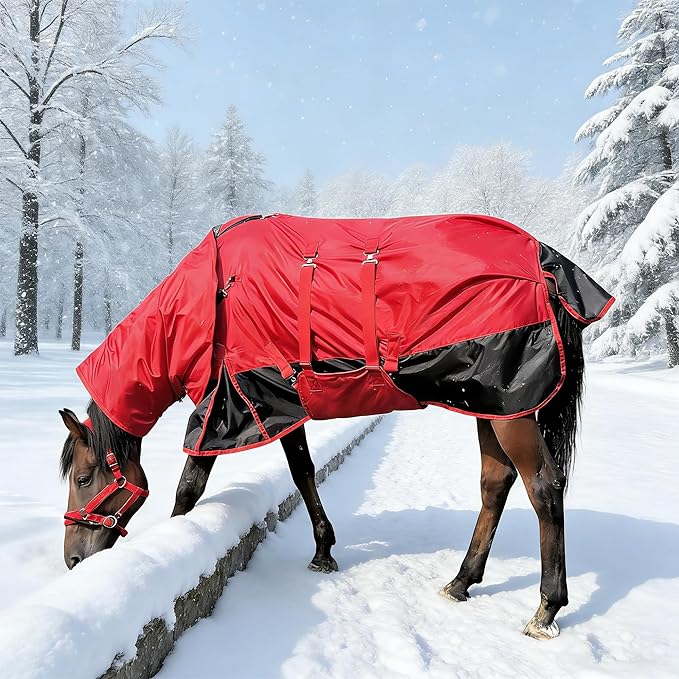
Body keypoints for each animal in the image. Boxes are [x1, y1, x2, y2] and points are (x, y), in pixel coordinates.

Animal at [58, 213, 613, 640]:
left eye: (83, 477)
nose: (72, 561)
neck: (215, 298)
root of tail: (548, 263)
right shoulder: (283, 406)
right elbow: (303, 474)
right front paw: (324, 549)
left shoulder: (230, 405)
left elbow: (188, 488)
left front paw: (170, 546)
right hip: (491, 403)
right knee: (495, 484)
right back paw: (462, 581)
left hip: (513, 410)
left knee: (544, 488)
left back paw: (545, 609)